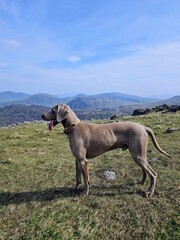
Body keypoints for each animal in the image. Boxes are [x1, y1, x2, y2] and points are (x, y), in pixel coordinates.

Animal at [41, 104, 172, 198]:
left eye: (53, 110)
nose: (42, 115)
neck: (74, 127)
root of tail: (143, 127)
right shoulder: (77, 160)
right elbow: (78, 178)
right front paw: (75, 189)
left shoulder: (83, 161)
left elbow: (86, 180)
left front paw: (85, 193)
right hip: (138, 155)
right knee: (145, 170)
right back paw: (141, 182)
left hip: (138, 155)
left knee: (153, 174)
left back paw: (149, 192)